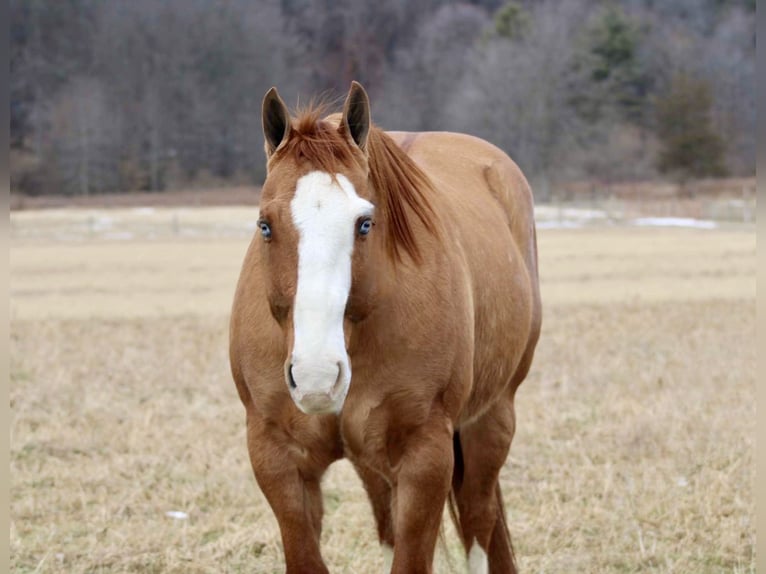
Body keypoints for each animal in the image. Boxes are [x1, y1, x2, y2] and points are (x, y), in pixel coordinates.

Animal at [231, 82, 544, 574]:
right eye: (265, 225)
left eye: (365, 223)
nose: (317, 376)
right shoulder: (278, 458)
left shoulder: (424, 458)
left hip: (491, 420)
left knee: (479, 519)